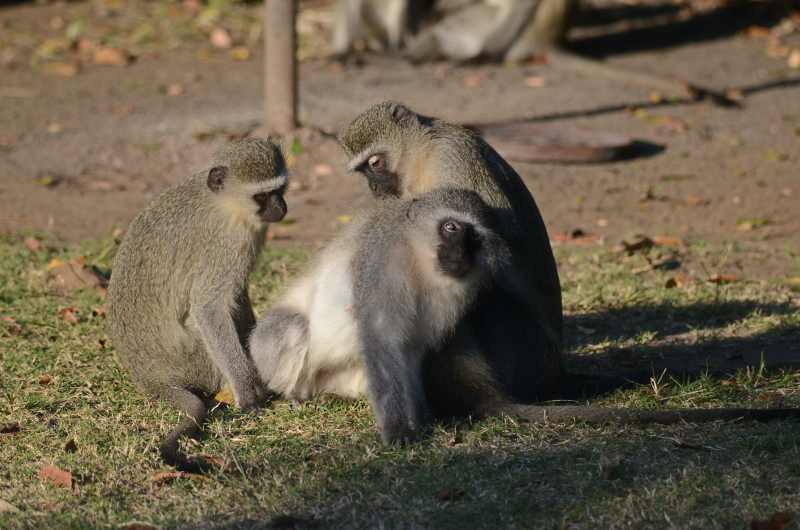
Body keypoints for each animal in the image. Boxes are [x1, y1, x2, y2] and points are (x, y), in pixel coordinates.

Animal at [107, 138, 288, 472]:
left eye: (281, 189)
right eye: (261, 196)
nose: (282, 208)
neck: (224, 203)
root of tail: (150, 379)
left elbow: (237, 296)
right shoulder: (225, 245)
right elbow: (208, 307)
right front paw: (248, 392)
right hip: (192, 359)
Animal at [250, 188, 514, 443]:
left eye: (475, 238)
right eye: (451, 227)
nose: (461, 254)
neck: (420, 261)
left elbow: (411, 349)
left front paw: (421, 419)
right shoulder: (384, 261)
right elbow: (381, 336)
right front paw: (399, 430)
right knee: (293, 325)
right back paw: (295, 396)